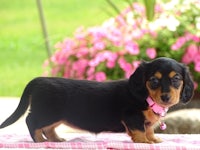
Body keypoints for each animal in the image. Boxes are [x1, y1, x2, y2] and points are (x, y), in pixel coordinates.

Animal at [0, 57, 194, 143]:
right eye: (153, 80)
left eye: (176, 79)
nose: (165, 97)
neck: (147, 98)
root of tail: (39, 79)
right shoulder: (132, 116)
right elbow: (139, 131)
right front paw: (144, 142)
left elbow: (149, 129)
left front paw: (153, 140)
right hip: (46, 112)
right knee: (31, 120)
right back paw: (39, 140)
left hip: (56, 117)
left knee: (48, 128)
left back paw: (56, 139)